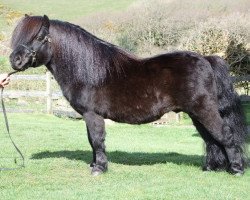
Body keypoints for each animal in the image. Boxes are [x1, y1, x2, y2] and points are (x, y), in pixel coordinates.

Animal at [9, 15, 246, 175]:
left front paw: (99, 169)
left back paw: (236, 169)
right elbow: (91, 141)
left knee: (224, 135)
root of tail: (206, 59)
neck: (88, 70)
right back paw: (212, 167)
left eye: (40, 36)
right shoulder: (88, 116)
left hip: (204, 110)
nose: (15, 60)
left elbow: (97, 140)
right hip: (196, 114)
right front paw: (95, 164)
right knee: (211, 139)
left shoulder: (93, 115)